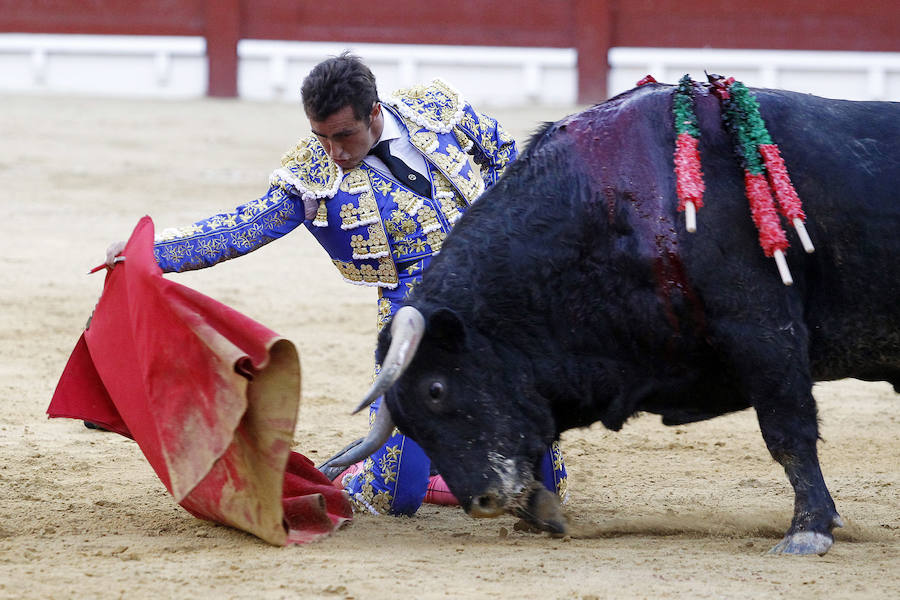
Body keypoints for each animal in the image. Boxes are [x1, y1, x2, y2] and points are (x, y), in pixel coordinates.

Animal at [324, 82, 900, 556]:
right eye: (409, 425)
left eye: (436, 390)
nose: (483, 502)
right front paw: (541, 512)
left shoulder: (762, 327)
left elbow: (787, 431)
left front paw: (809, 530)